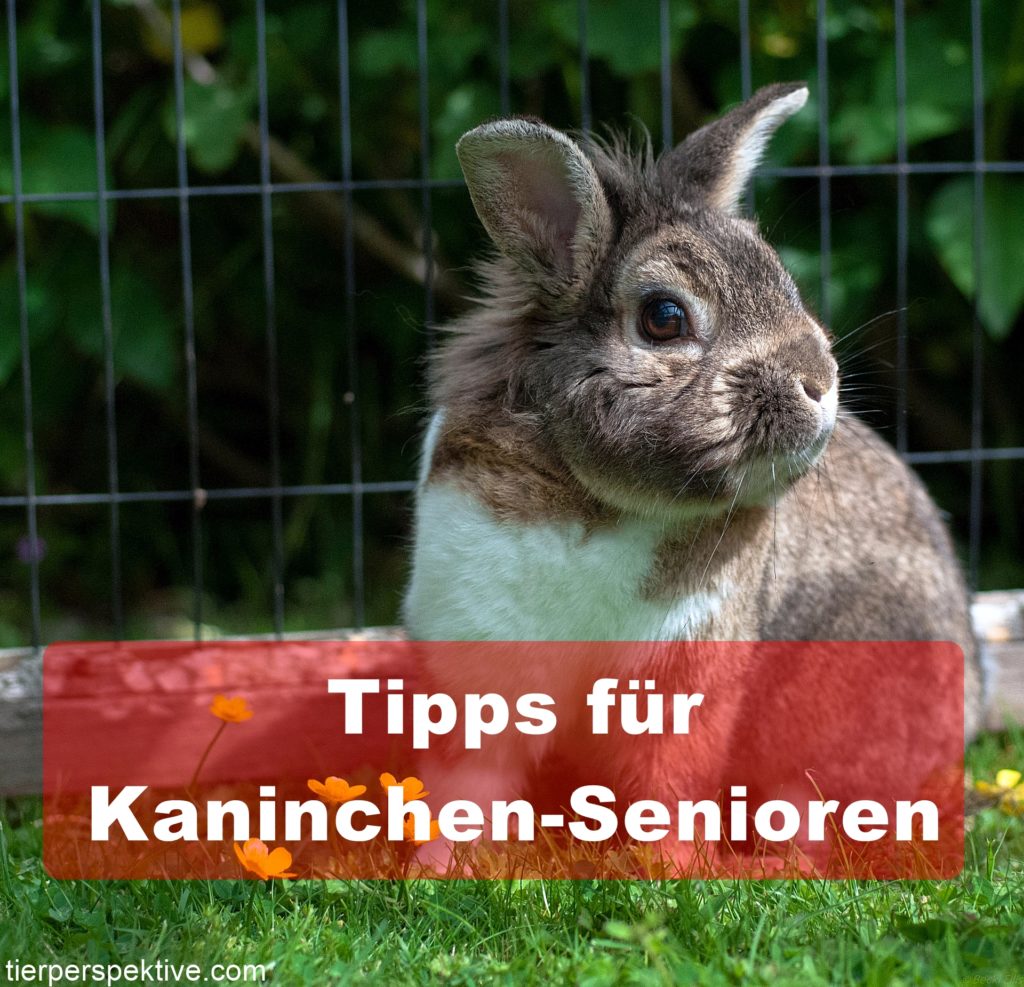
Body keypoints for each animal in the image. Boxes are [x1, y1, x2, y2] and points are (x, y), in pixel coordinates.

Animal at [401, 82, 983, 873]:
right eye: (664, 317)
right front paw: (437, 867)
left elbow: (669, 783)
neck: (602, 503)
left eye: (785, 283)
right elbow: (470, 782)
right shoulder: (476, 660)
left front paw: (671, 868)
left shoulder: (688, 678)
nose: (819, 382)